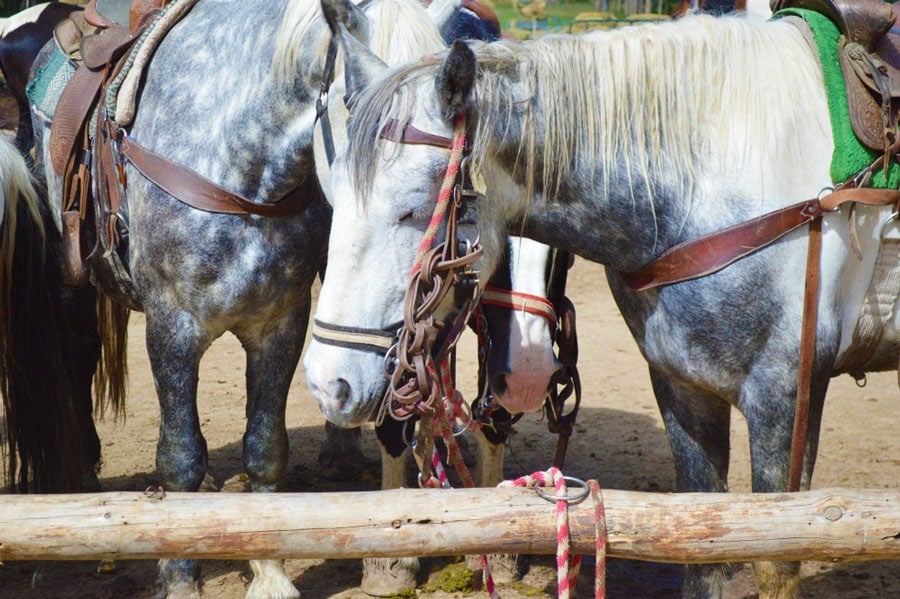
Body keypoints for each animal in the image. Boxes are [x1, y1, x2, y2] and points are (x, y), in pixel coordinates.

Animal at [23, 0, 562, 596]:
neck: (233, 171)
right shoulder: (172, 328)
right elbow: (180, 454)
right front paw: (181, 575)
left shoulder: (281, 324)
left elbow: (266, 447)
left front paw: (270, 572)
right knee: (77, 359)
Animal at [306, 4, 899, 597]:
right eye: (334, 198)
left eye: (412, 210)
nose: (329, 383)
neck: (716, 183)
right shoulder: (682, 388)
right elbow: (704, 550)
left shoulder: (787, 396)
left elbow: (779, 557)